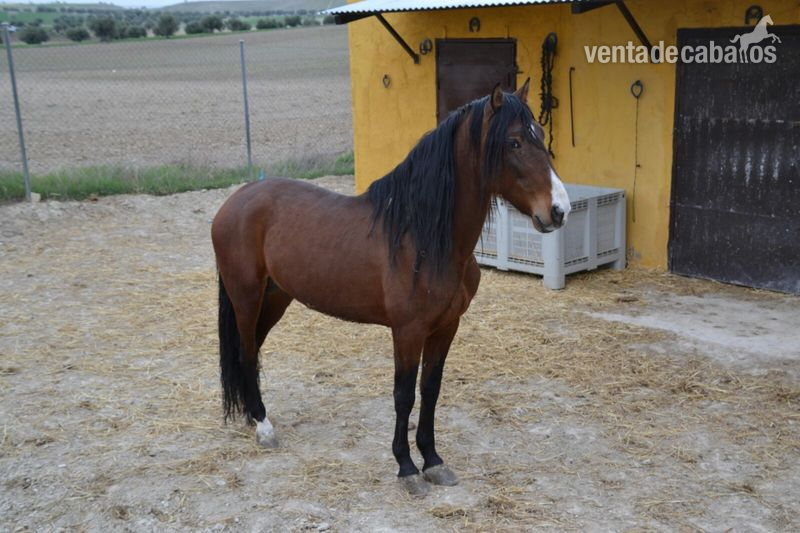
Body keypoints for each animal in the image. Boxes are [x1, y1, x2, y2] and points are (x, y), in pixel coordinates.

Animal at [211, 79, 571, 496]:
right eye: (514, 142)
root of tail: (235, 201)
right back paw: (264, 427)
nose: (559, 210)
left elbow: (430, 389)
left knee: (251, 352)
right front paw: (407, 467)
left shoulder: (446, 327)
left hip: (275, 298)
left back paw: (253, 417)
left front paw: (433, 460)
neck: (424, 237)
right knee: (247, 351)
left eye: (540, 134)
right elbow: (404, 394)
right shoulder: (407, 331)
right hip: (246, 297)